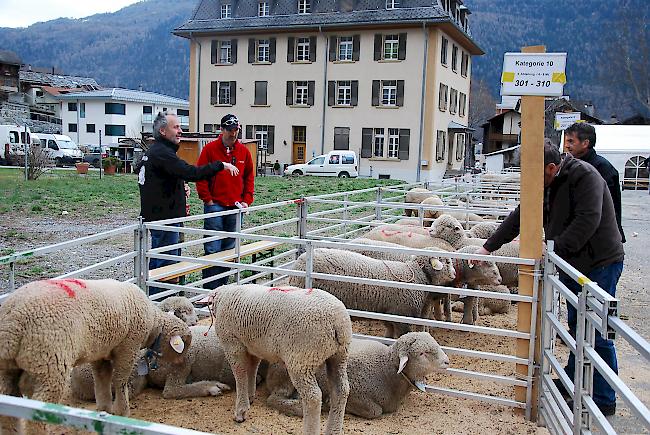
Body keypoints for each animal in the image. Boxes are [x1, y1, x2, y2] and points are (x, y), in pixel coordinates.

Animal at [0, 280, 190, 435]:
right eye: (184, 345)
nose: (182, 362)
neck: (153, 325)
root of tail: (13, 321)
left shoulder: (102, 352)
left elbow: (102, 380)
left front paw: (104, 410)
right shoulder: (128, 347)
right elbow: (120, 380)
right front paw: (122, 412)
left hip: (7, 369)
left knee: (7, 414)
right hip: (49, 366)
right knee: (35, 417)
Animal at [210, 284, 352, 434]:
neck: (223, 297)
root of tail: (337, 323)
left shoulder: (233, 344)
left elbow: (240, 374)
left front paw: (241, 411)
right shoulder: (254, 346)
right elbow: (252, 369)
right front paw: (250, 396)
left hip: (301, 360)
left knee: (313, 397)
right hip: (339, 356)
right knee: (341, 391)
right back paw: (334, 429)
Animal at [266, 332, 448, 420]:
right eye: (422, 353)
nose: (447, 361)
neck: (386, 369)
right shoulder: (356, 393)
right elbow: (375, 411)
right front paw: (329, 402)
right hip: (287, 377)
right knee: (274, 399)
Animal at [286, 247, 458, 336]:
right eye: (447, 261)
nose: (455, 274)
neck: (418, 276)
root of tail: (299, 263)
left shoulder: (390, 314)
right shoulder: (402, 316)